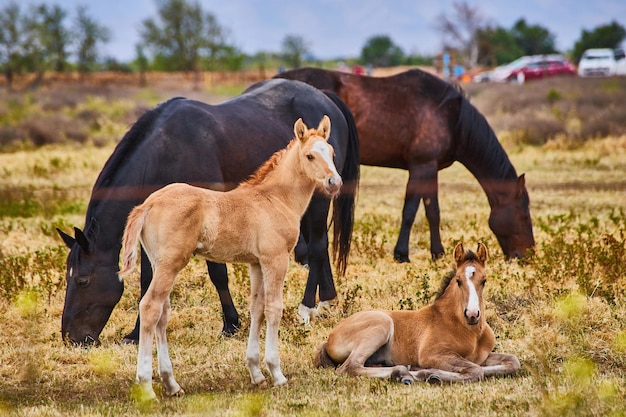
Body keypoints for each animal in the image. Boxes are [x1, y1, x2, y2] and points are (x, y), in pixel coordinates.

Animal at [59, 78, 360, 344]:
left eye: (83, 280)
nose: (71, 338)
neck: (167, 149)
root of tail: (325, 98)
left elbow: (218, 274)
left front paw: (231, 324)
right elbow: (148, 280)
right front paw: (135, 334)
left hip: (318, 198)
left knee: (318, 246)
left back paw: (307, 308)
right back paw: (327, 301)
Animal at [117, 116, 342, 396]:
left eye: (331, 153)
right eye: (310, 155)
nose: (335, 182)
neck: (275, 199)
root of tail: (148, 204)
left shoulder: (256, 263)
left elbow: (257, 308)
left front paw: (256, 373)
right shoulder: (276, 259)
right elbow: (274, 308)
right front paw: (276, 373)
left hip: (160, 263)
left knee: (162, 313)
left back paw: (171, 383)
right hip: (171, 264)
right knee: (150, 307)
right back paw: (147, 386)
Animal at [276, 68, 532, 262]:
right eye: (524, 214)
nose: (527, 255)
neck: (450, 116)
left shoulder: (430, 168)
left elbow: (433, 211)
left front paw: (437, 253)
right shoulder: (421, 166)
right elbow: (410, 211)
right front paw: (401, 253)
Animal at [314, 240, 520, 384]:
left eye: (484, 280)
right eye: (458, 280)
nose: (472, 314)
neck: (471, 332)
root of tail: (329, 337)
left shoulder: (482, 356)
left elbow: (511, 362)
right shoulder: (432, 354)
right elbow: (476, 370)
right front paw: (428, 374)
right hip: (380, 324)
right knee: (350, 367)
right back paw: (402, 373)